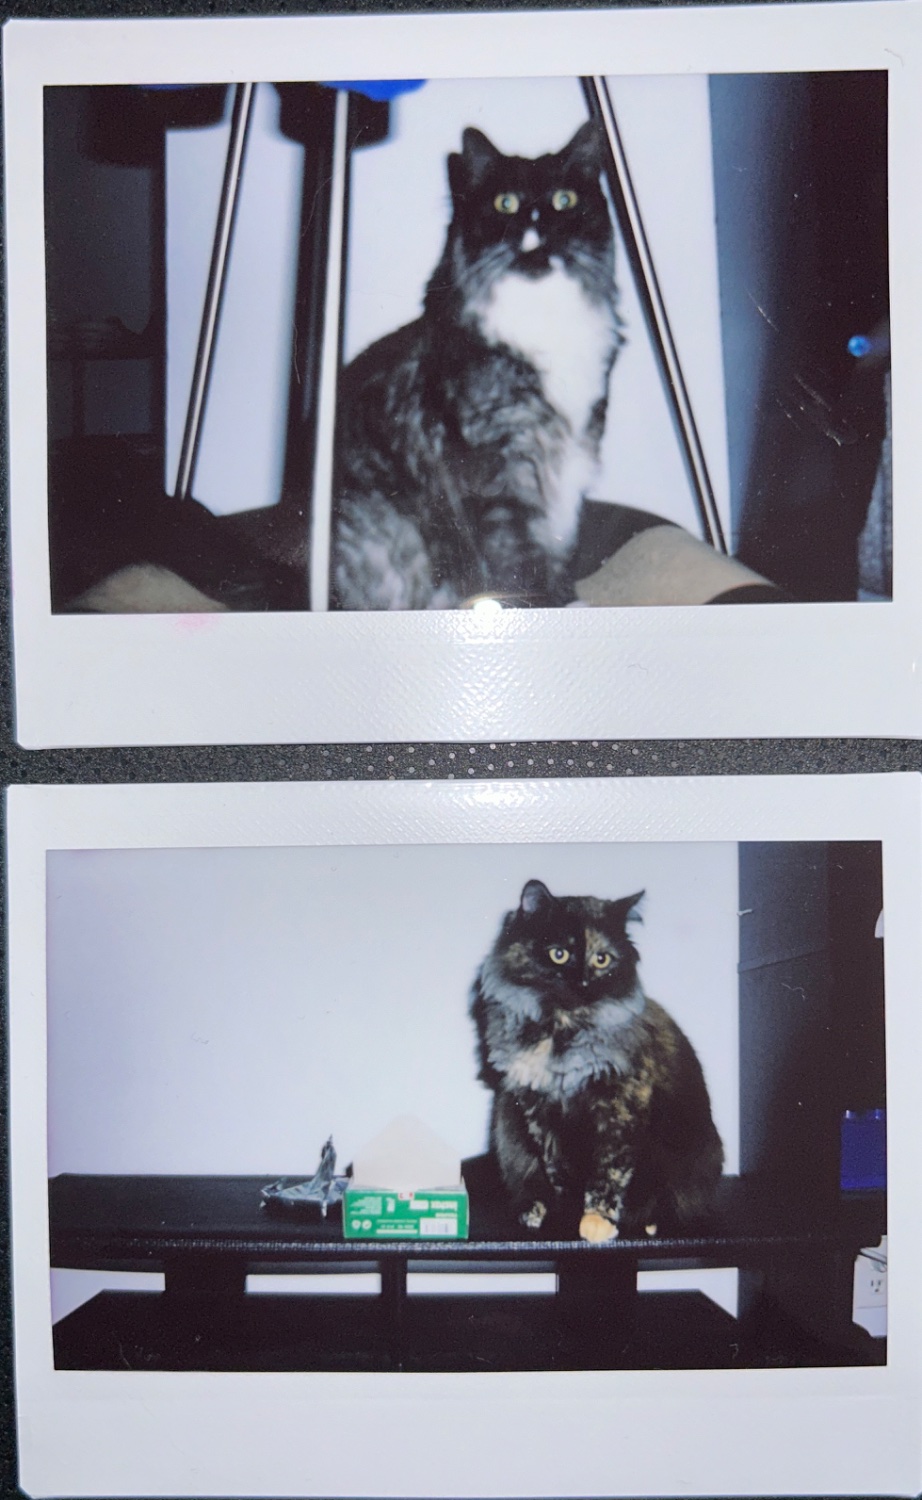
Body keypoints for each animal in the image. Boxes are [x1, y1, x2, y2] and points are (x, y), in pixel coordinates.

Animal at [328, 120, 623, 606]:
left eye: (564, 200)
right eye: (507, 203)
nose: (536, 230)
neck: (544, 315)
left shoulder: (571, 456)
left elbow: (560, 545)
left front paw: (566, 598)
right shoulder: (499, 475)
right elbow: (520, 557)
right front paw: (542, 603)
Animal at [473, 876, 725, 1242]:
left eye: (602, 959)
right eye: (559, 954)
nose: (582, 982)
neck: (563, 1030)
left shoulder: (619, 1110)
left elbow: (607, 1175)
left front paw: (595, 1222)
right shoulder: (543, 1117)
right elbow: (560, 1174)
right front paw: (566, 1218)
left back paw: (651, 1223)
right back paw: (535, 1212)